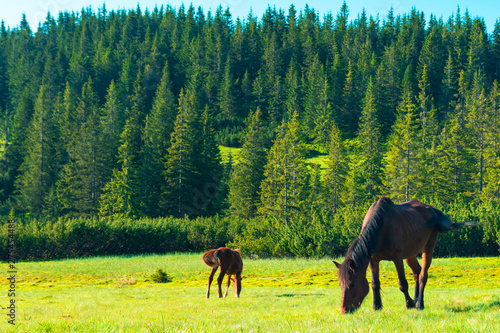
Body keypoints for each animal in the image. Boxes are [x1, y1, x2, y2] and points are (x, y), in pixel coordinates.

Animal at [334, 197, 474, 314]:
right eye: (340, 284)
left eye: (352, 284)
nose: (344, 310)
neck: (381, 228)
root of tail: (431, 209)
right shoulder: (373, 260)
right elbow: (375, 283)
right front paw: (377, 305)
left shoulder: (397, 258)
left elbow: (403, 284)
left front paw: (409, 304)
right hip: (410, 254)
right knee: (417, 272)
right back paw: (416, 299)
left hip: (428, 249)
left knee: (423, 275)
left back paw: (419, 303)